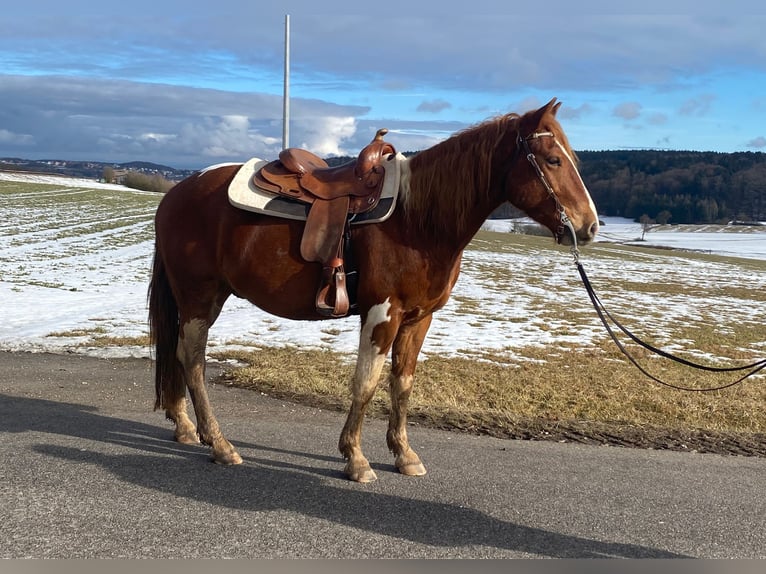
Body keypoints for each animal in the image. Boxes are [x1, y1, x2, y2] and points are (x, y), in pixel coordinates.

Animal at [148, 98, 599, 483]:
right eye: (553, 159)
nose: (589, 227)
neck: (417, 221)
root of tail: (176, 193)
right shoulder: (383, 313)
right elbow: (366, 382)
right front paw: (356, 459)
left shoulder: (419, 319)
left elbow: (403, 383)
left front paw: (404, 455)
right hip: (199, 296)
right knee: (193, 360)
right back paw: (219, 443)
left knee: (179, 355)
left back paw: (186, 427)